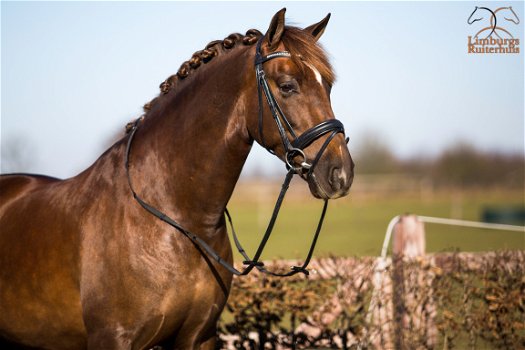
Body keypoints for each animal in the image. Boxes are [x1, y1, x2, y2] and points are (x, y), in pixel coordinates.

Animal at [1, 9, 352, 348]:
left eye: (328, 86)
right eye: (288, 85)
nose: (341, 173)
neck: (178, 220)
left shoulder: (199, 336)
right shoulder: (112, 338)